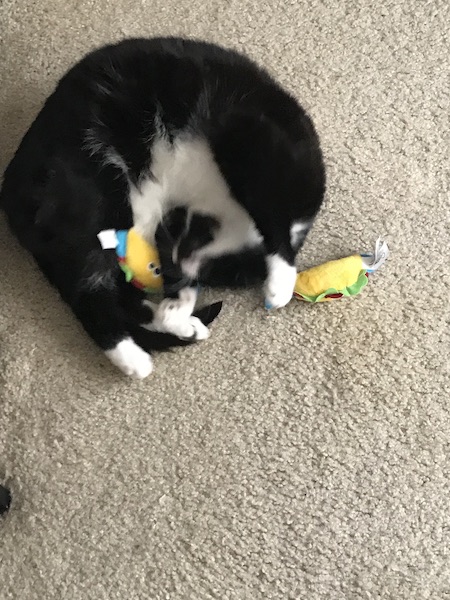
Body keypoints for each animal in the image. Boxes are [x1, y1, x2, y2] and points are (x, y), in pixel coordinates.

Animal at [0, 37, 324, 378]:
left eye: (216, 272)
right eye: (201, 231)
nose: (182, 262)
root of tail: (10, 192)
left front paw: (177, 305)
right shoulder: (253, 137)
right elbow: (271, 214)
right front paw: (280, 283)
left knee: (122, 293)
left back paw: (181, 325)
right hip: (93, 193)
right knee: (89, 292)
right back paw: (133, 359)